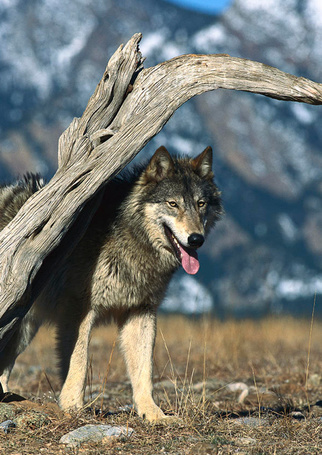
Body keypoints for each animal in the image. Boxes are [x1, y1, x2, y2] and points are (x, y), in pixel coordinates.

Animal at [0, 146, 223, 420]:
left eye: (201, 204)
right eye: (173, 204)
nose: (196, 239)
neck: (129, 238)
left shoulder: (140, 311)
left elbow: (145, 370)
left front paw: (153, 414)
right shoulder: (78, 310)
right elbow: (78, 362)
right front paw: (73, 407)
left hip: (24, 328)